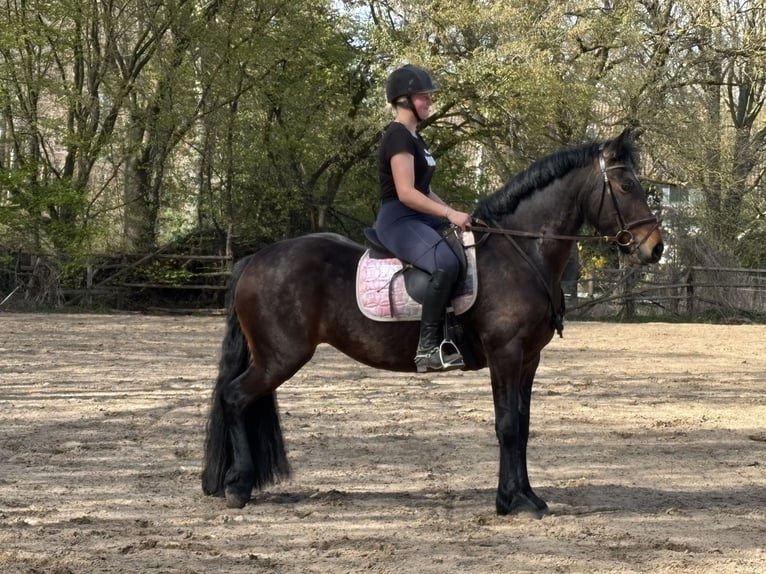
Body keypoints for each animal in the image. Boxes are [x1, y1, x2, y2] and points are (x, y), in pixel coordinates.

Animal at [201, 128, 664, 517]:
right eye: (626, 186)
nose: (655, 248)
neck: (520, 253)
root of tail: (254, 259)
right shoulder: (506, 354)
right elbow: (507, 426)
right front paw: (510, 502)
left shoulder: (528, 359)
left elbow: (523, 425)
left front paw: (527, 496)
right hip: (280, 357)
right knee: (235, 398)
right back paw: (237, 488)